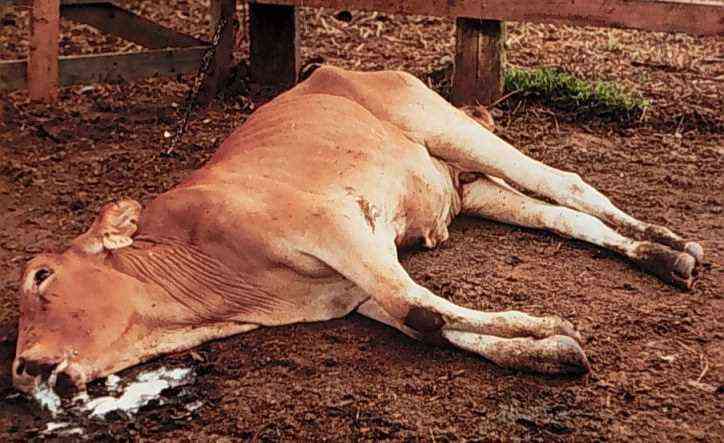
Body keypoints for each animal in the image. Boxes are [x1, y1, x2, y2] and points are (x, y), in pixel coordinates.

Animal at [13, 66, 703, 397]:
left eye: (41, 276)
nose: (21, 368)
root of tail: (334, 70)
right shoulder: (348, 292)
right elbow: (424, 321)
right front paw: (547, 349)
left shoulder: (336, 224)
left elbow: (416, 306)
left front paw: (545, 327)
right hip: (467, 185)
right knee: (560, 213)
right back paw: (661, 255)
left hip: (444, 122)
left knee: (566, 183)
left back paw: (671, 243)